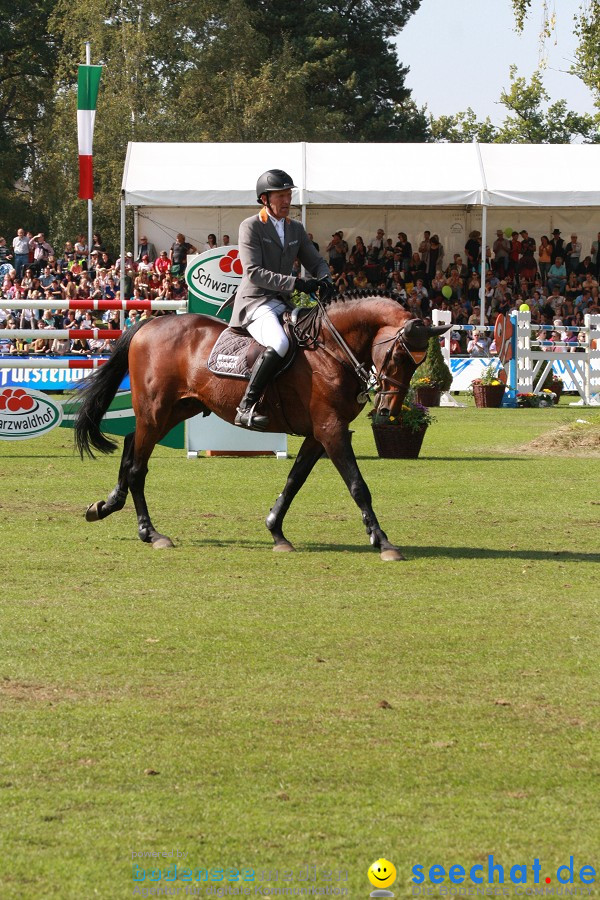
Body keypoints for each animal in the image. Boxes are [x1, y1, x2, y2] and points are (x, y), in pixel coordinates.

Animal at [75, 292, 448, 560]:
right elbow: (358, 486)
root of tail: (148, 325)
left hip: (177, 409)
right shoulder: (331, 430)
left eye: (416, 364)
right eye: (398, 356)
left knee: (130, 445)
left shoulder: (320, 433)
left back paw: (107, 505)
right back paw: (150, 533)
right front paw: (382, 541)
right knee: (138, 467)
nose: (387, 411)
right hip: (156, 411)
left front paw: (276, 531)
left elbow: (294, 480)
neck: (330, 349)